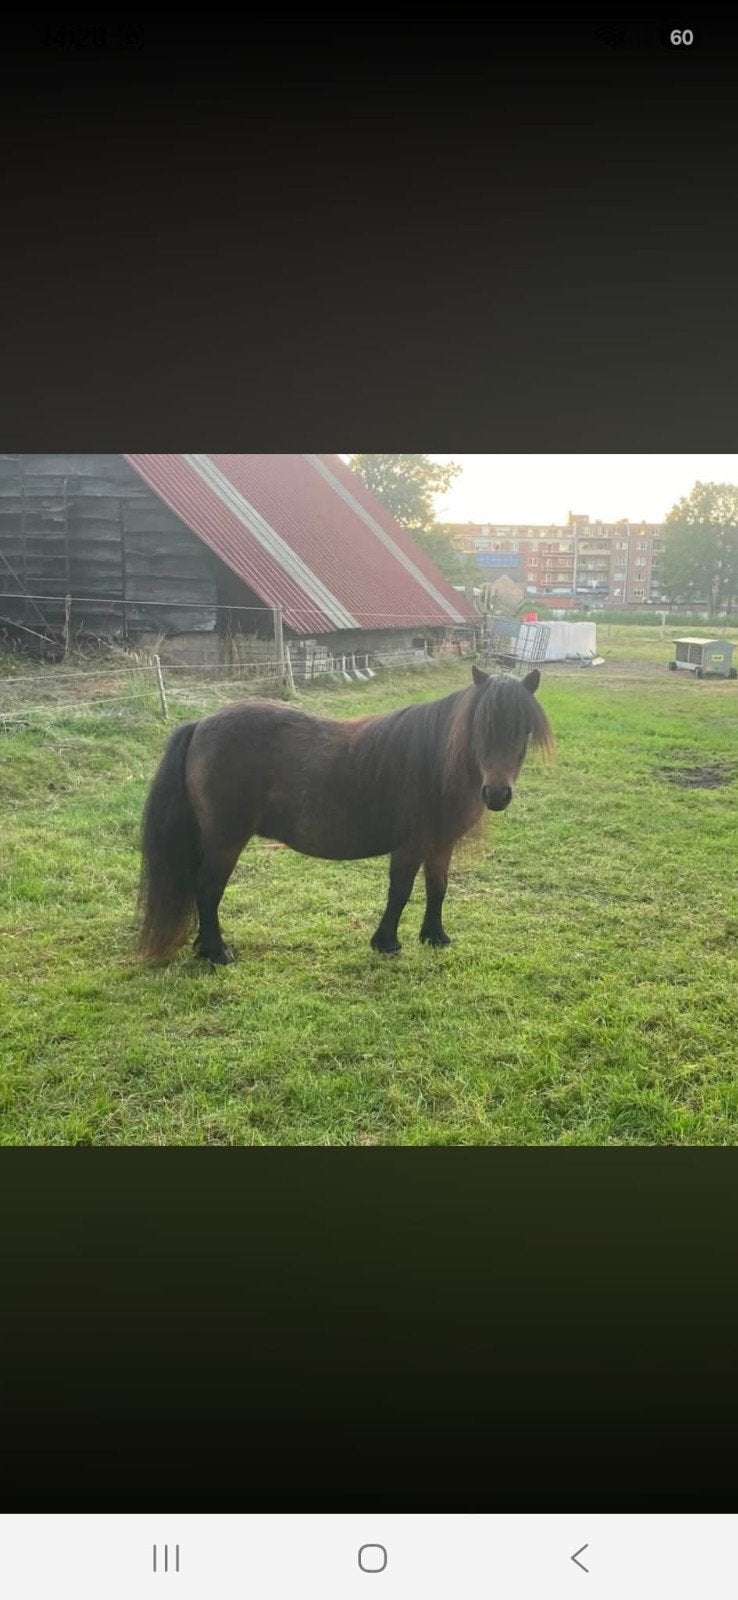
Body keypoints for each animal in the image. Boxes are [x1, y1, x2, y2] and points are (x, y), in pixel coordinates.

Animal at [137, 663, 553, 965]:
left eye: (524, 729)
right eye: (481, 725)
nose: (497, 794)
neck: (436, 763)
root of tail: (201, 724)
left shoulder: (440, 844)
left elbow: (438, 888)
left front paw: (435, 937)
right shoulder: (410, 846)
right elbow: (400, 891)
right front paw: (386, 942)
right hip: (226, 840)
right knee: (207, 888)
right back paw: (216, 952)